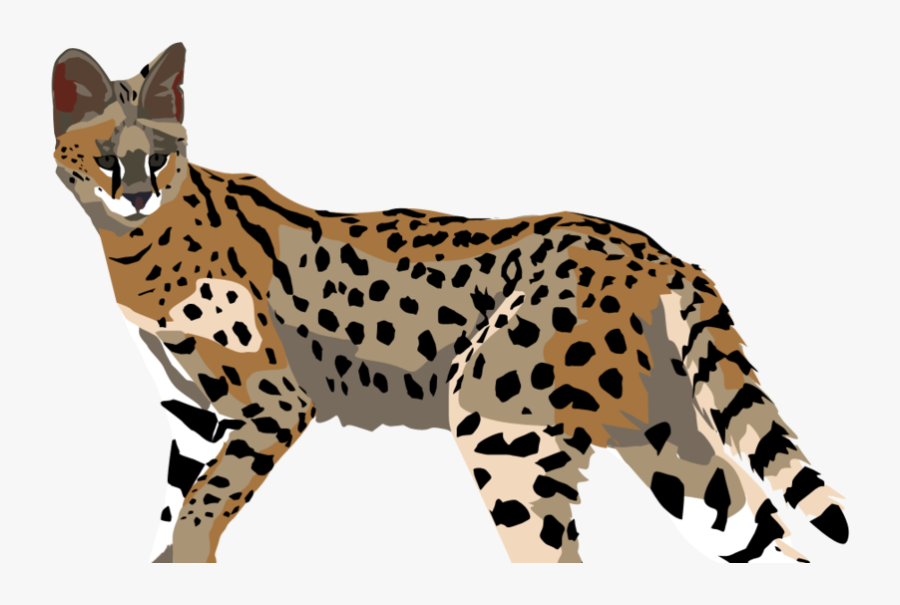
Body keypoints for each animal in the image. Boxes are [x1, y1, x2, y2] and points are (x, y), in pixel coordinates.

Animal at [51, 43, 849, 563]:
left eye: (159, 155)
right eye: (106, 158)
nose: (137, 193)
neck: (135, 251)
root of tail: (660, 252)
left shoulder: (270, 399)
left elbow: (204, 501)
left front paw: (189, 554)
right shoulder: (190, 404)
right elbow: (176, 495)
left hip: (501, 419)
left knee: (553, 552)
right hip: (663, 438)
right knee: (760, 530)